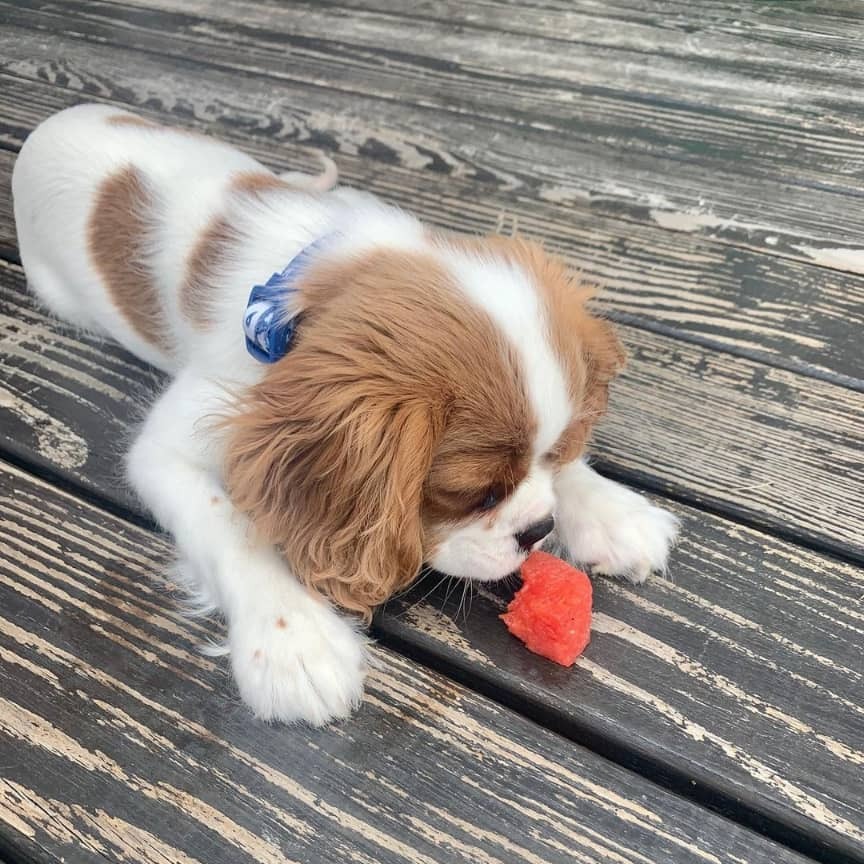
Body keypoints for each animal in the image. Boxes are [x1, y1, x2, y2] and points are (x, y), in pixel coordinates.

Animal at [10, 103, 680, 724]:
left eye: (560, 450)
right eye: (475, 493)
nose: (538, 529)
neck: (305, 286)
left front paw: (609, 510)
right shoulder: (172, 443)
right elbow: (231, 521)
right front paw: (295, 640)